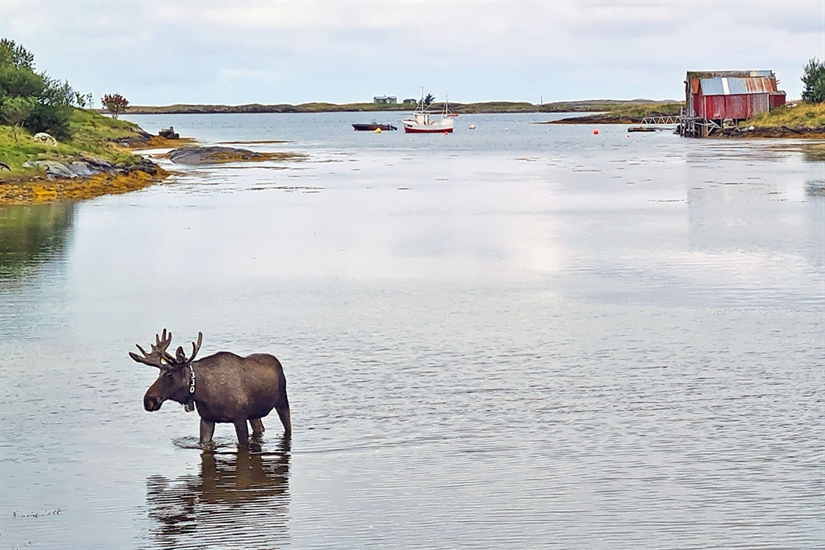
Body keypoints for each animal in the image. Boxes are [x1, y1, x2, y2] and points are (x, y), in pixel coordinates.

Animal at [130, 330, 292, 446]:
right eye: (159, 373)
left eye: (170, 375)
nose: (148, 400)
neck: (202, 393)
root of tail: (278, 362)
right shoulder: (206, 419)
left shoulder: (239, 418)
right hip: (254, 414)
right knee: (260, 428)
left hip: (282, 401)